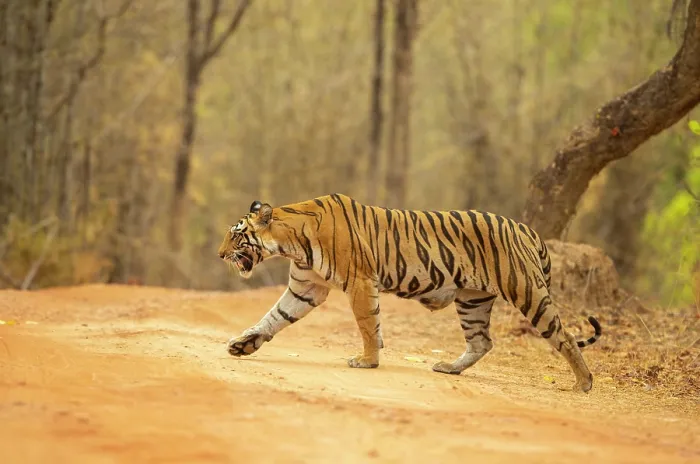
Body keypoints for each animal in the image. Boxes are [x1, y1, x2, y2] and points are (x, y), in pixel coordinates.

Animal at [217, 193, 601, 392]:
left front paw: (367, 360)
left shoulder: (360, 281)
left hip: (526, 291)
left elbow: (367, 324)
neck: (290, 241)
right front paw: (243, 345)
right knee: (481, 341)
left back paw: (584, 383)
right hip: (472, 300)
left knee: (565, 335)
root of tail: (526, 228)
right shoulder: (306, 287)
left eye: (236, 236)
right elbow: (274, 317)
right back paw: (450, 368)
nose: (220, 255)